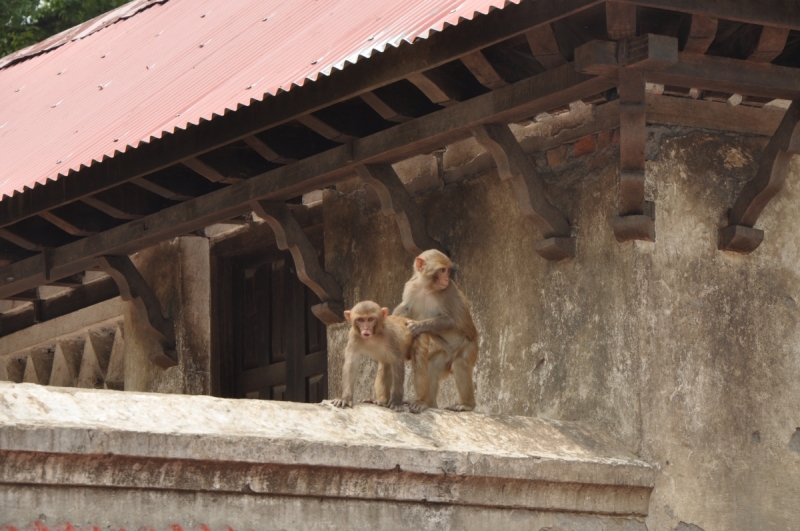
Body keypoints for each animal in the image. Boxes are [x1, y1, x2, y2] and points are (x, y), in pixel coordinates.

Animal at [392, 250, 478, 416]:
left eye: (448, 271)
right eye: (442, 270)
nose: (446, 278)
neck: (427, 287)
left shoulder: (447, 291)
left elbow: (451, 320)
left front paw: (418, 326)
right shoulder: (411, 287)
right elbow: (405, 308)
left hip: (470, 347)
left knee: (460, 363)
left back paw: (466, 405)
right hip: (444, 353)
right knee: (431, 366)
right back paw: (427, 403)